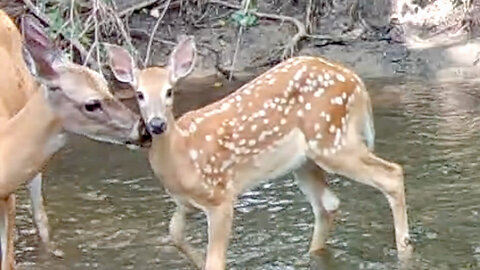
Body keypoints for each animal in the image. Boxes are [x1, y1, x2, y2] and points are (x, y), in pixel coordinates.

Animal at [108, 37, 412, 268]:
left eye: (170, 91)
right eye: (139, 94)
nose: (157, 124)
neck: (183, 155)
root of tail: (357, 81)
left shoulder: (221, 197)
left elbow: (214, 261)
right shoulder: (185, 203)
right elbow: (175, 235)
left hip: (332, 141)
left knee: (391, 174)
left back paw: (405, 249)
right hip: (306, 161)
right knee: (328, 205)